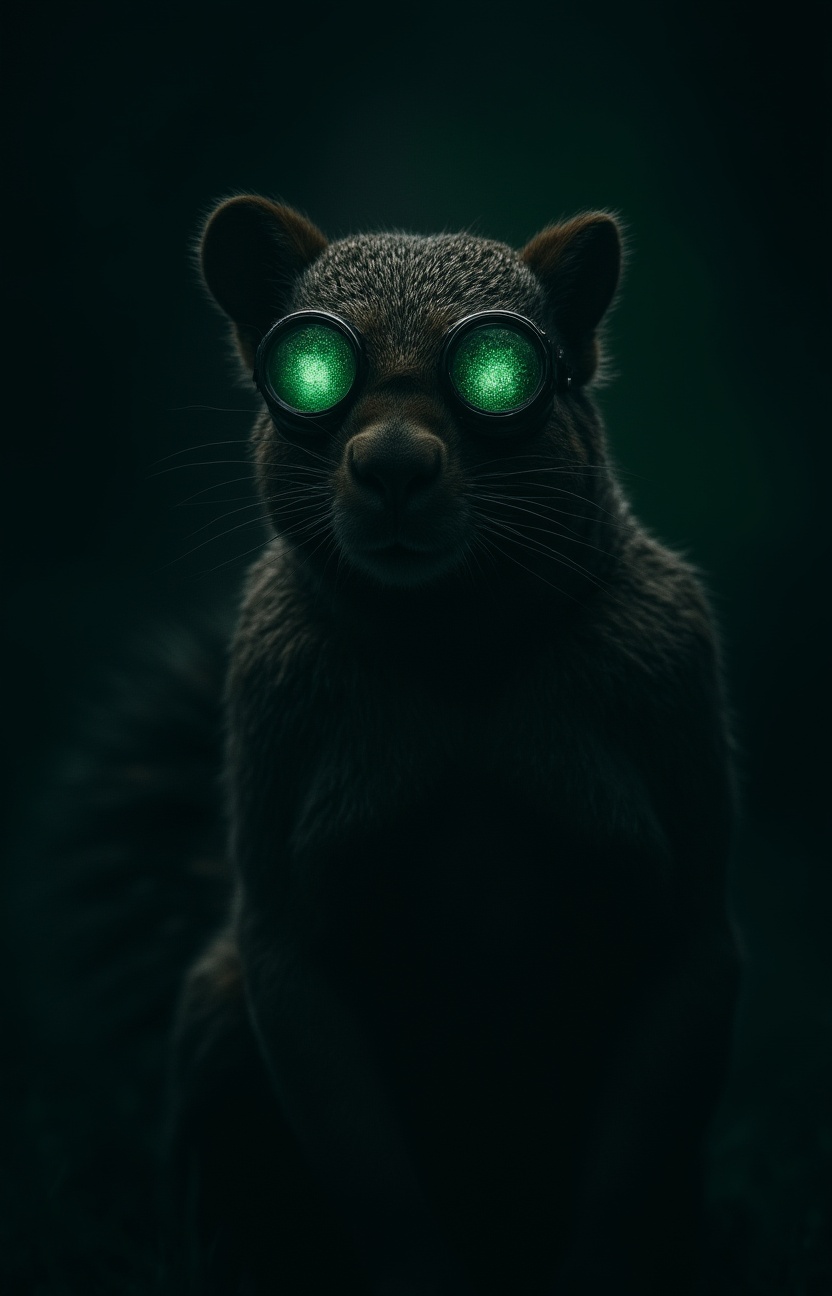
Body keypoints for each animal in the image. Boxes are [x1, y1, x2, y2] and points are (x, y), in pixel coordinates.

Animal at [163, 195, 740, 1296]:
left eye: (503, 374)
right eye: (311, 370)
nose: (393, 469)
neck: (454, 646)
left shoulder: (690, 897)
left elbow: (622, 1167)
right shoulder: (282, 926)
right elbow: (371, 1173)